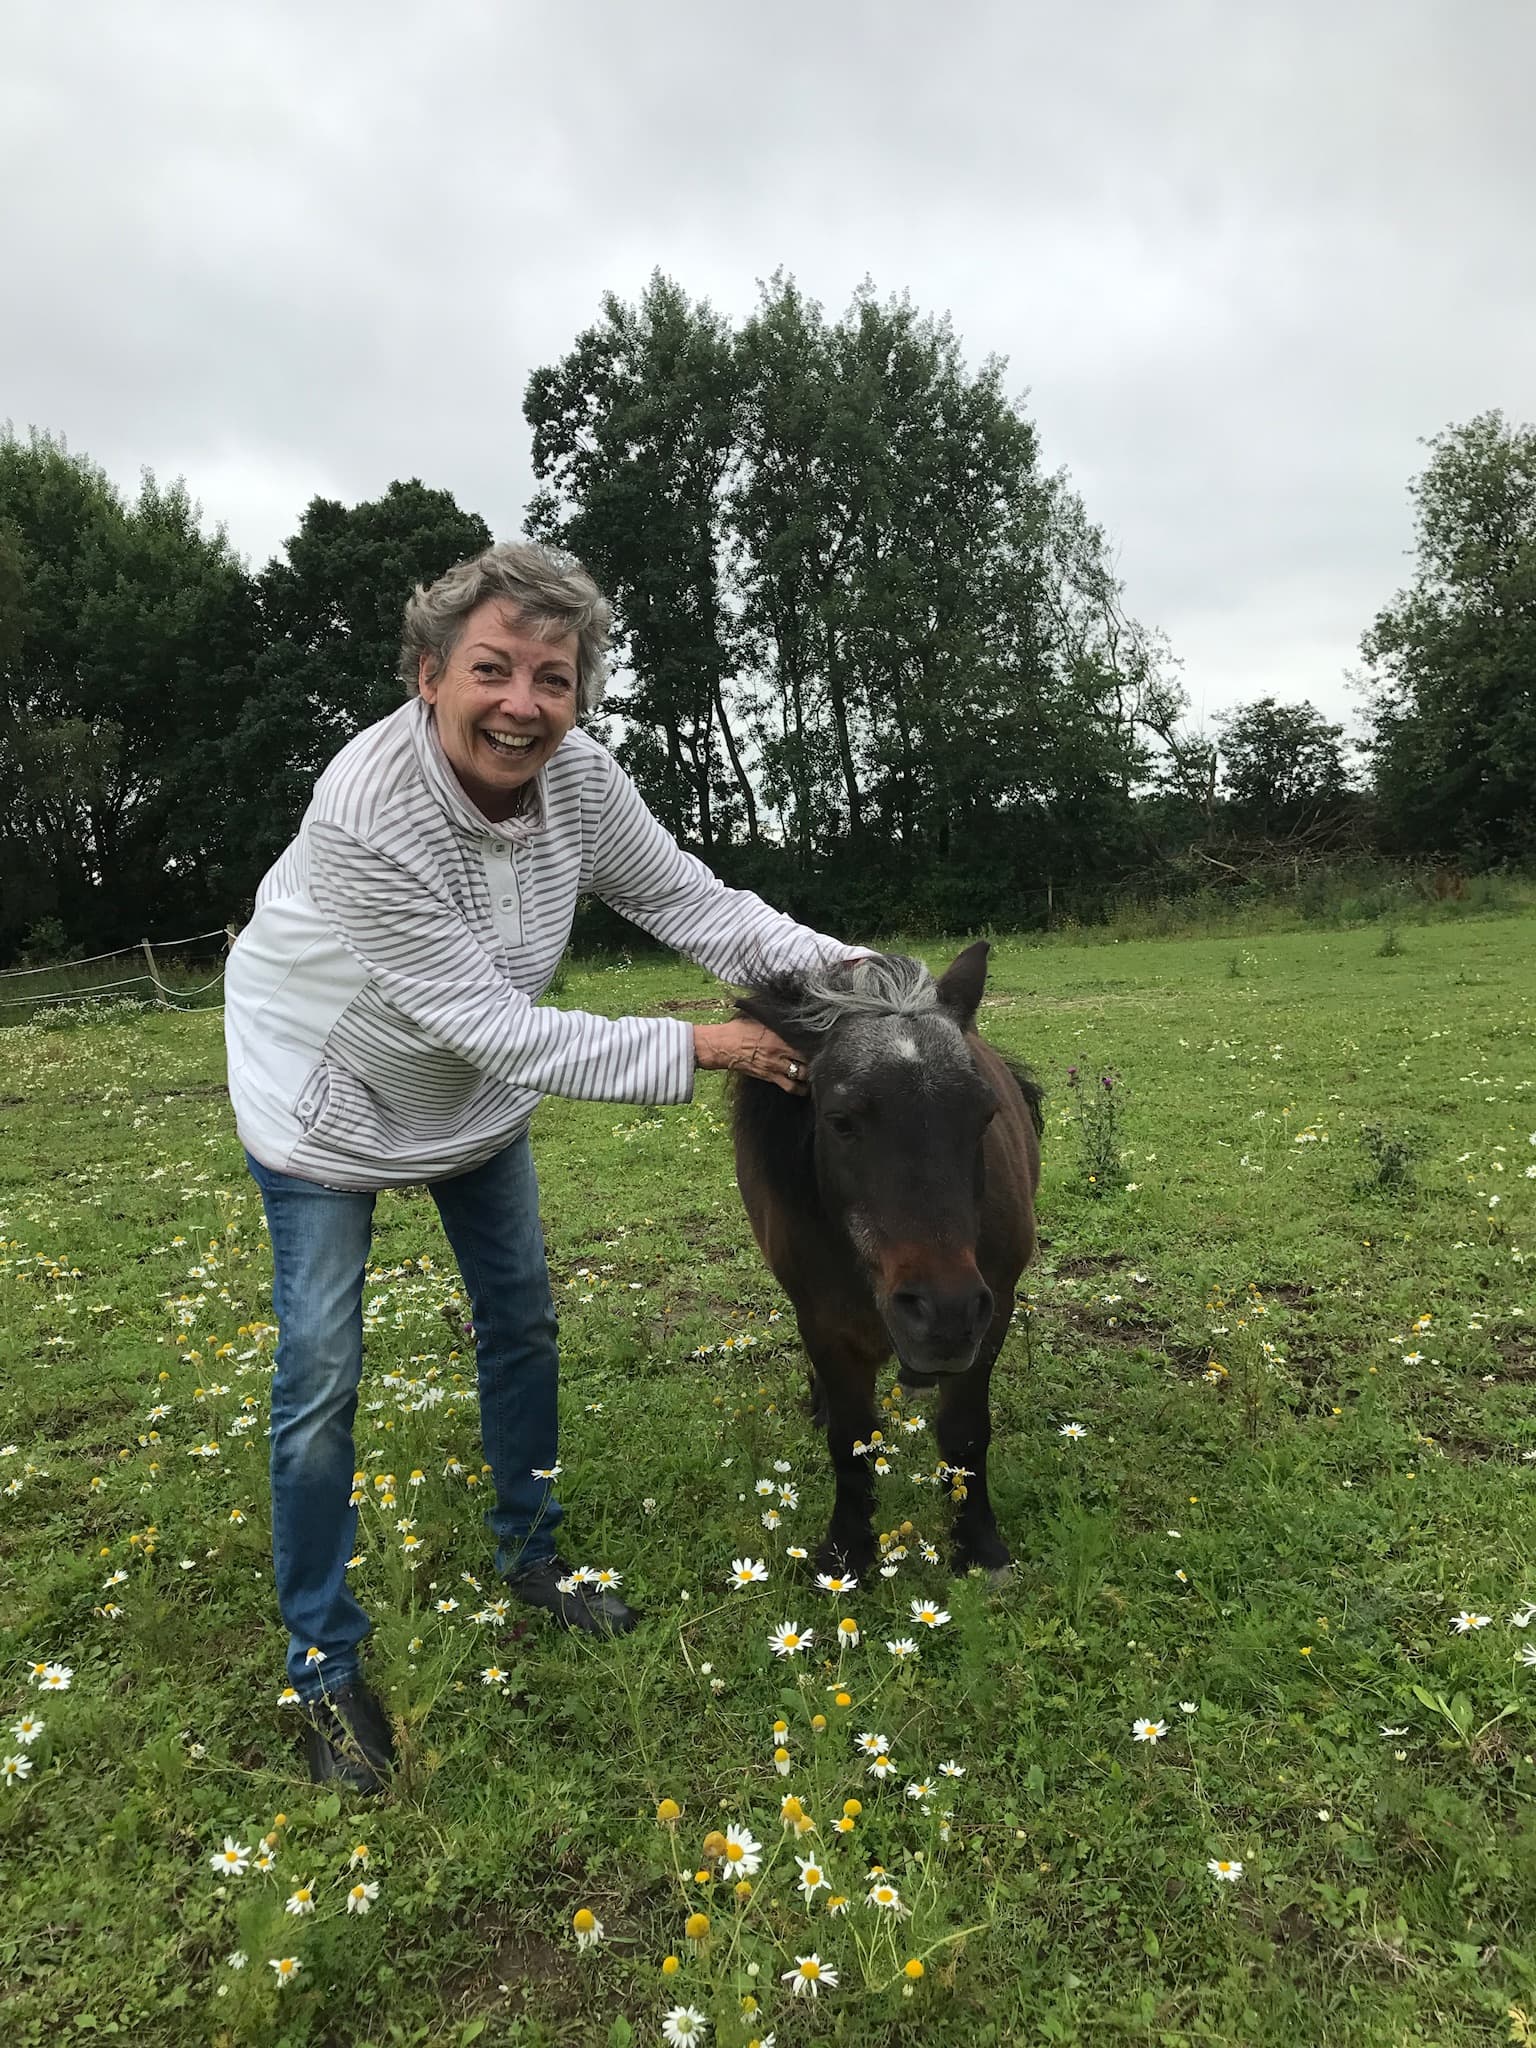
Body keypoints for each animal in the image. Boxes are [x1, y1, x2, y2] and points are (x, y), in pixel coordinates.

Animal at [730, 941, 1042, 1582]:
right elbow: (851, 1441)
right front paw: (847, 1553)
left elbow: (965, 1434)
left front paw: (979, 1545)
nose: (944, 1313)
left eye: (984, 1115)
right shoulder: (825, 1324)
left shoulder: (992, 1314)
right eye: (840, 1121)